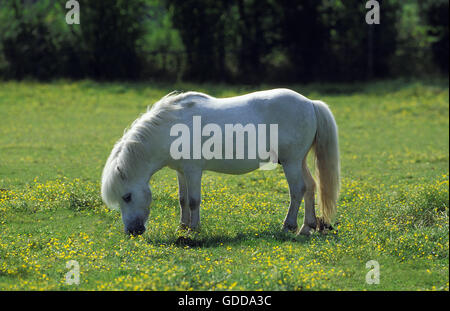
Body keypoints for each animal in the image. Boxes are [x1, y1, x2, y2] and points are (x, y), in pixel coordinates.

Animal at [102, 89, 340, 236]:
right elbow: (182, 200)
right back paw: (306, 228)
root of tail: (310, 103)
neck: (171, 128)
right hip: (299, 161)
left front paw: (193, 229)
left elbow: (193, 201)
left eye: (127, 196)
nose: (133, 231)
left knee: (297, 190)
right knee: (310, 187)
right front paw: (182, 227)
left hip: (291, 162)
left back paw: (288, 226)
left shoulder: (193, 171)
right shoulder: (181, 171)